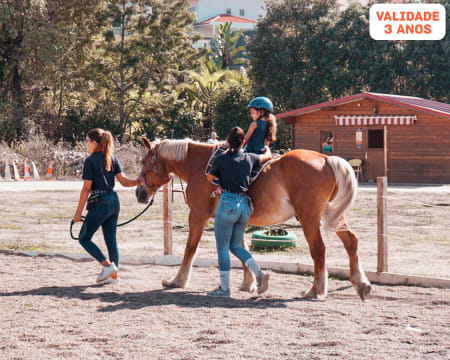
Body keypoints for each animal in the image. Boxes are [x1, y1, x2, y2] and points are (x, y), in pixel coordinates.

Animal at [137, 138, 372, 300]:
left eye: (144, 162)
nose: (140, 193)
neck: (200, 166)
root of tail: (325, 159)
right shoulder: (234, 220)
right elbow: (240, 249)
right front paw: (249, 283)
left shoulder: (198, 215)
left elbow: (190, 249)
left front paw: (177, 280)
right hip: (331, 214)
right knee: (351, 241)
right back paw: (361, 283)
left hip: (309, 218)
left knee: (319, 249)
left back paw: (316, 290)